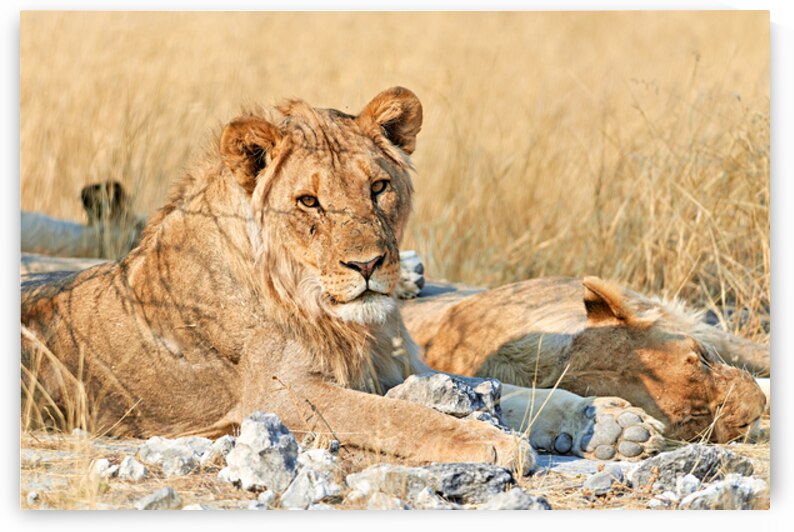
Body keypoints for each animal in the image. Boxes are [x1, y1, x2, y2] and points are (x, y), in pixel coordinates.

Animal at [21, 87, 673, 471]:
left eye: (378, 187)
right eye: (308, 201)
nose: (367, 266)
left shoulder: (398, 366)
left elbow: (517, 392)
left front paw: (612, 422)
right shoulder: (279, 393)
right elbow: (401, 417)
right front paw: (484, 442)